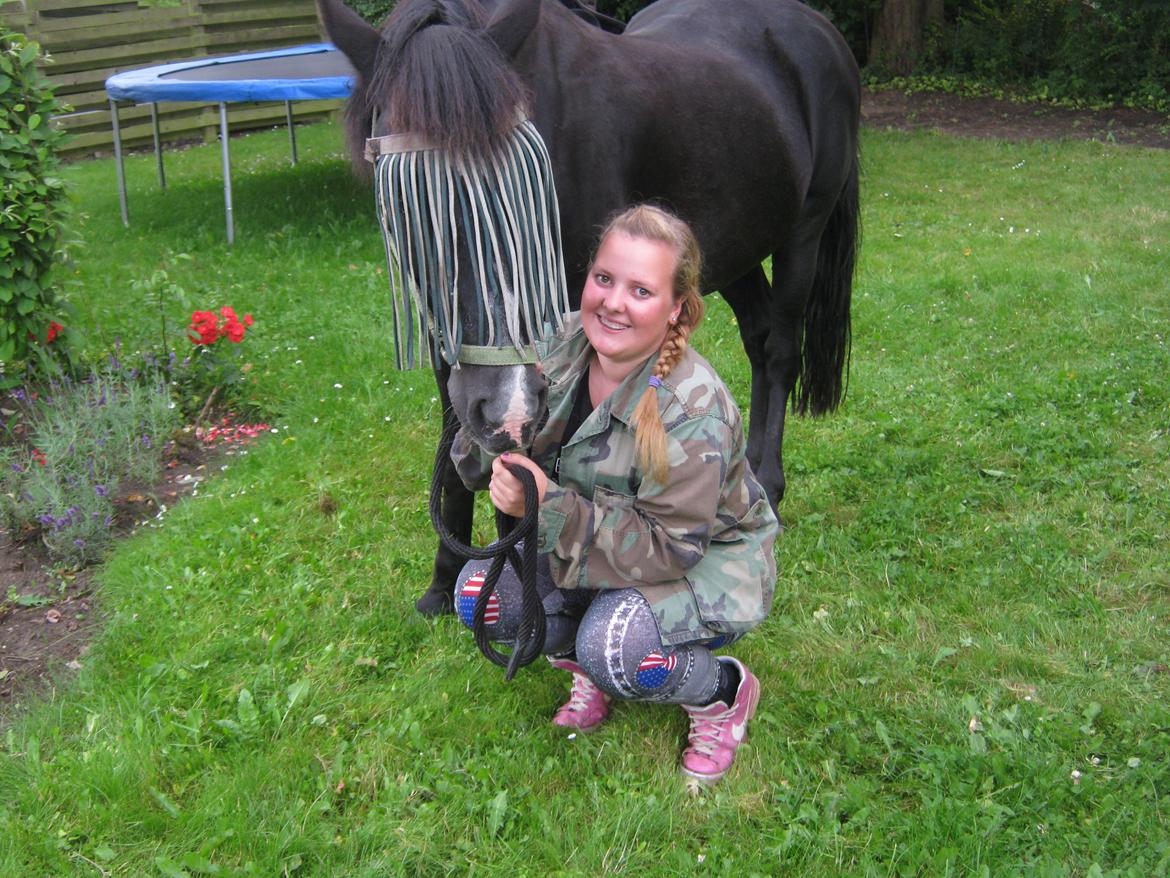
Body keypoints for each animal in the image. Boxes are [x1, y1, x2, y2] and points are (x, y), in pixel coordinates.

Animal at [317, 0, 861, 615]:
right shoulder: (456, 347)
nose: (505, 405)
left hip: (803, 236)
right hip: (729, 252)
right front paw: (443, 583)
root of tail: (816, 30)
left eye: (531, 184)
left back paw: (768, 486)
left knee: (781, 350)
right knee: (761, 340)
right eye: (410, 202)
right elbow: (460, 441)